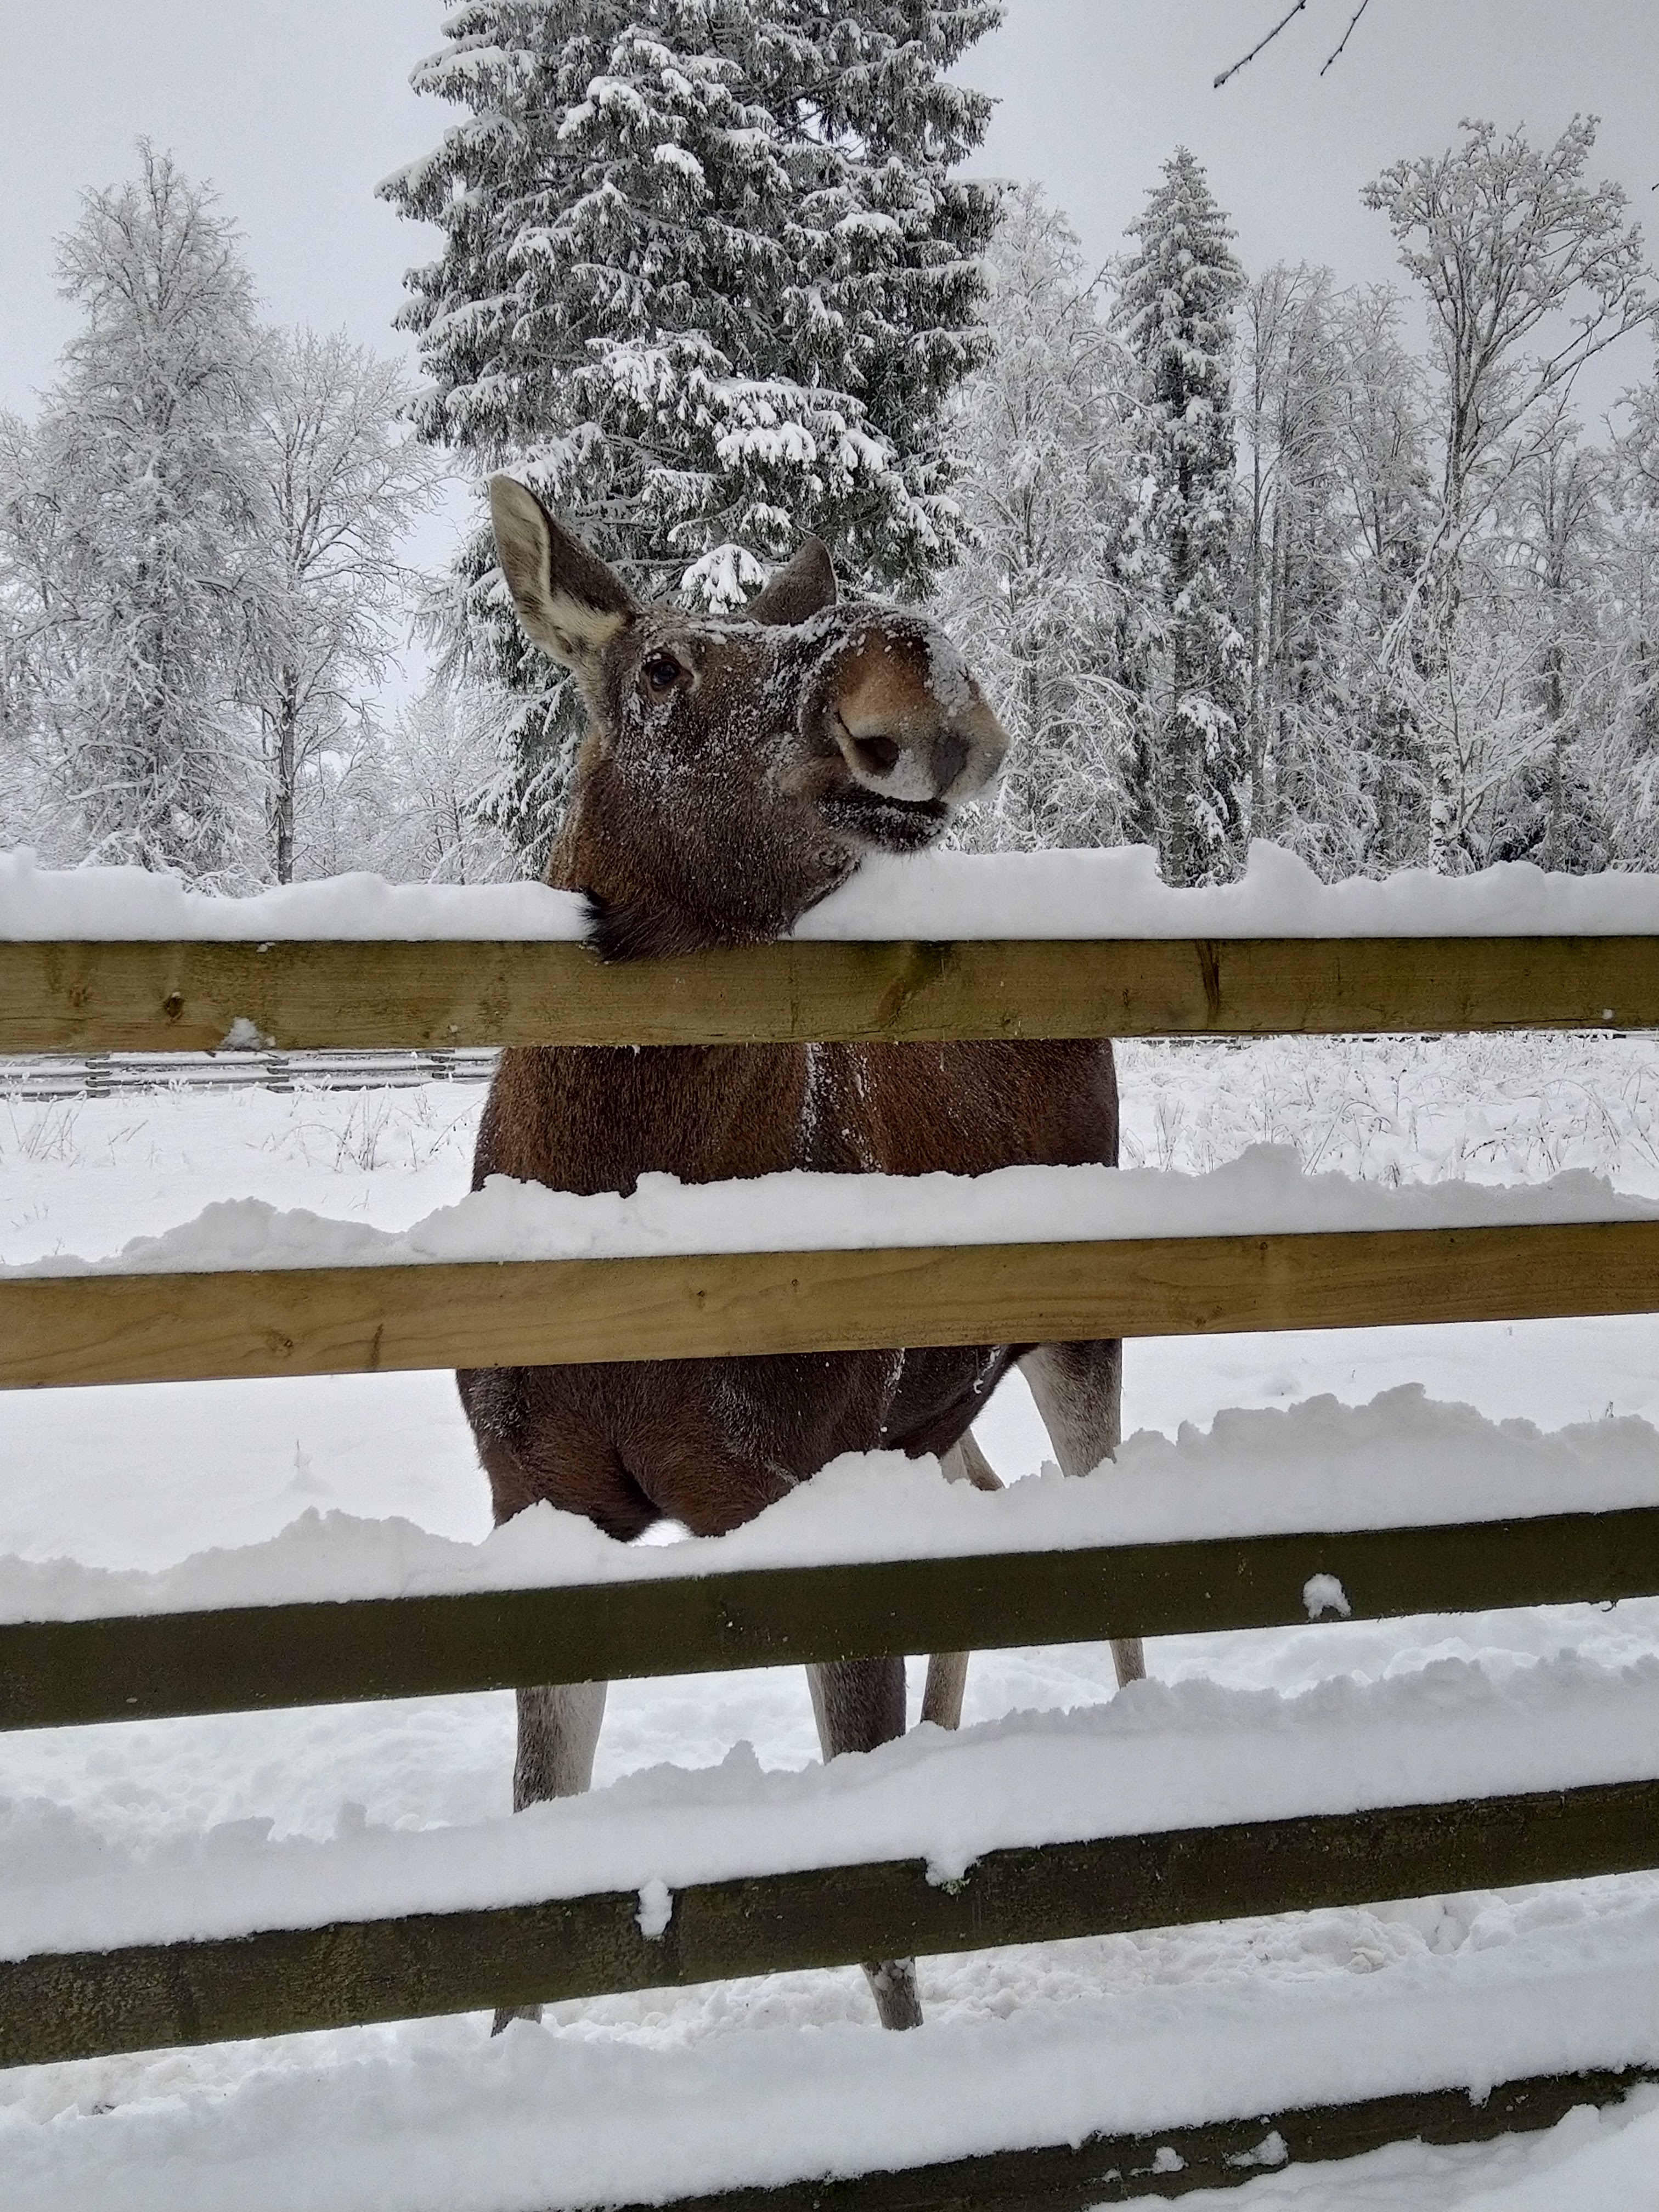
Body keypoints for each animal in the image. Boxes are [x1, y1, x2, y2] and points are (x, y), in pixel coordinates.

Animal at [455, 475, 1141, 2026]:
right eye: (659, 666)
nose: (911, 663)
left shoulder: (809, 1482)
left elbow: (871, 1922)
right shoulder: (535, 1496)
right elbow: (531, 1847)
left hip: (1069, 1329)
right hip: (929, 1402)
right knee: (985, 1493)